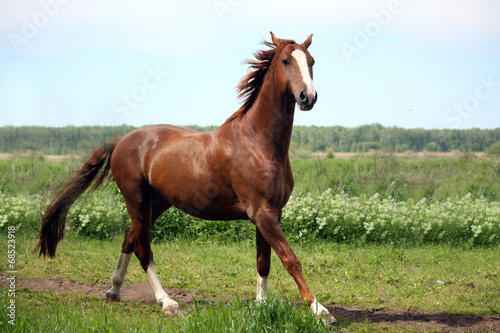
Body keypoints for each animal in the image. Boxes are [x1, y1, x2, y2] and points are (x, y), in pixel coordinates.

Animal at [35, 32, 336, 322]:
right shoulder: (261, 211)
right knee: (143, 250)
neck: (258, 142)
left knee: (129, 238)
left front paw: (262, 306)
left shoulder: (271, 212)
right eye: (286, 61)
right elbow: (290, 259)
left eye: (311, 61)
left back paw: (114, 290)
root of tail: (122, 141)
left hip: (157, 203)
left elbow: (264, 262)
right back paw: (167, 303)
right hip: (137, 201)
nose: (308, 97)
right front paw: (320, 311)